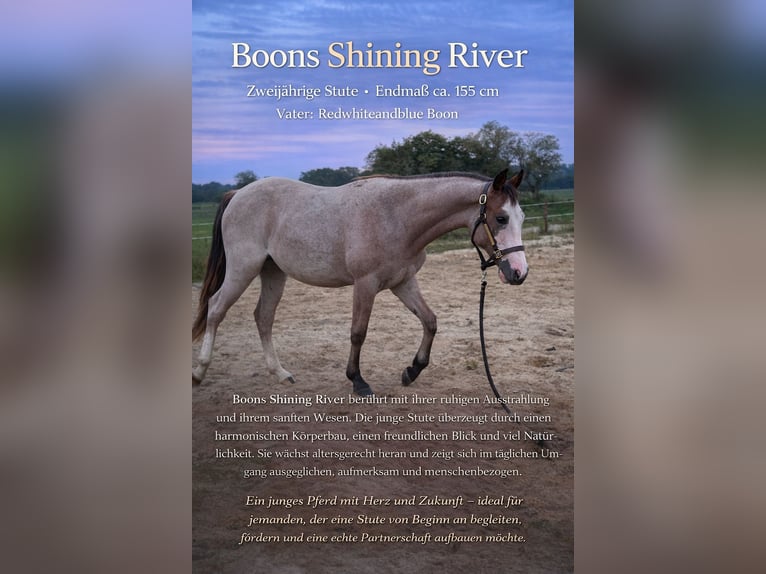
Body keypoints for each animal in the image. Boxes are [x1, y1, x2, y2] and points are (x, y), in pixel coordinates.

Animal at [192, 168, 527, 396]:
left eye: (521, 218)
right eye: (500, 218)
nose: (518, 272)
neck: (398, 217)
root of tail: (238, 194)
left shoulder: (403, 283)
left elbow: (430, 321)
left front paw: (411, 371)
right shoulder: (365, 285)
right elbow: (358, 333)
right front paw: (358, 381)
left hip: (272, 272)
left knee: (263, 317)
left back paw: (280, 373)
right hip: (243, 268)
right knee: (215, 309)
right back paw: (199, 371)